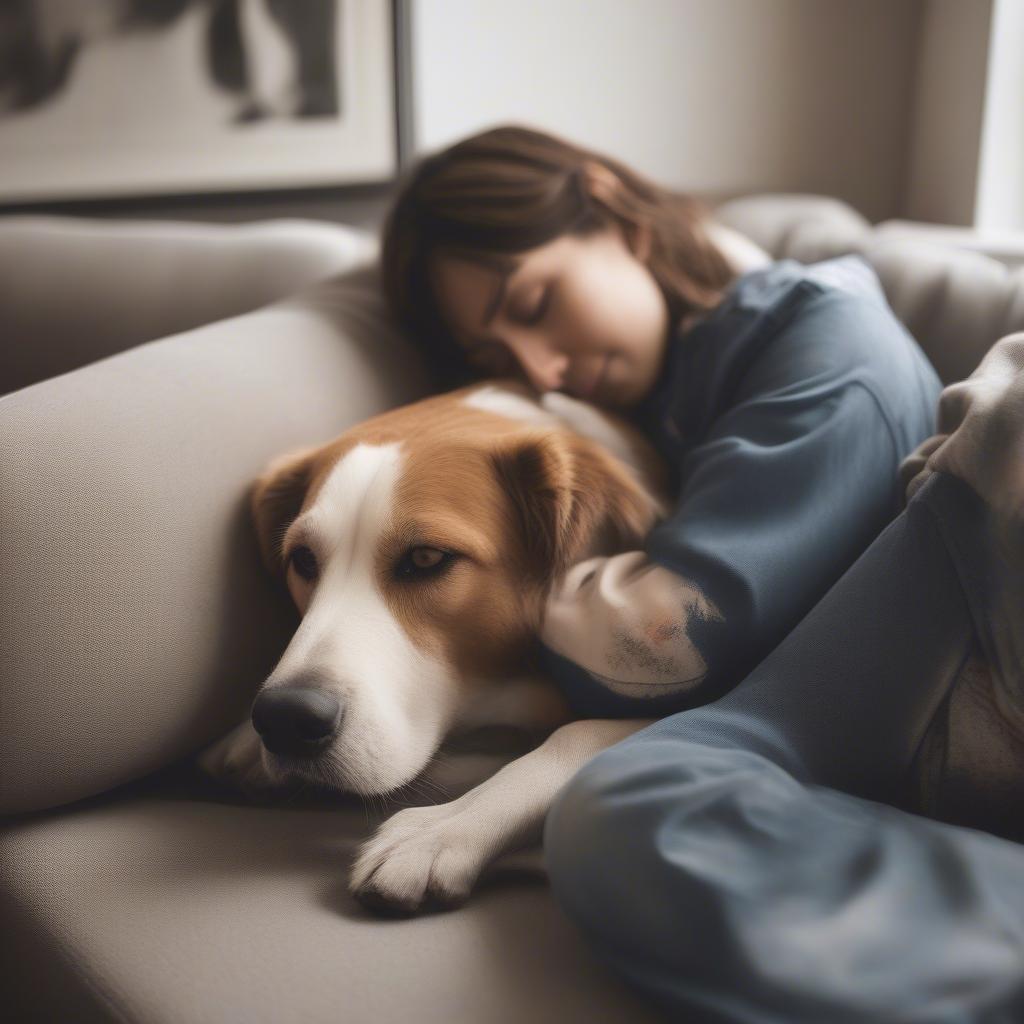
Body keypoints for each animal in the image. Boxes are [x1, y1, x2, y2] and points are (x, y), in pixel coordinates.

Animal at [196, 380, 671, 917]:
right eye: (304, 559)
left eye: (425, 558)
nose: (283, 718)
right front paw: (244, 741)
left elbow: (579, 734)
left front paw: (441, 828)